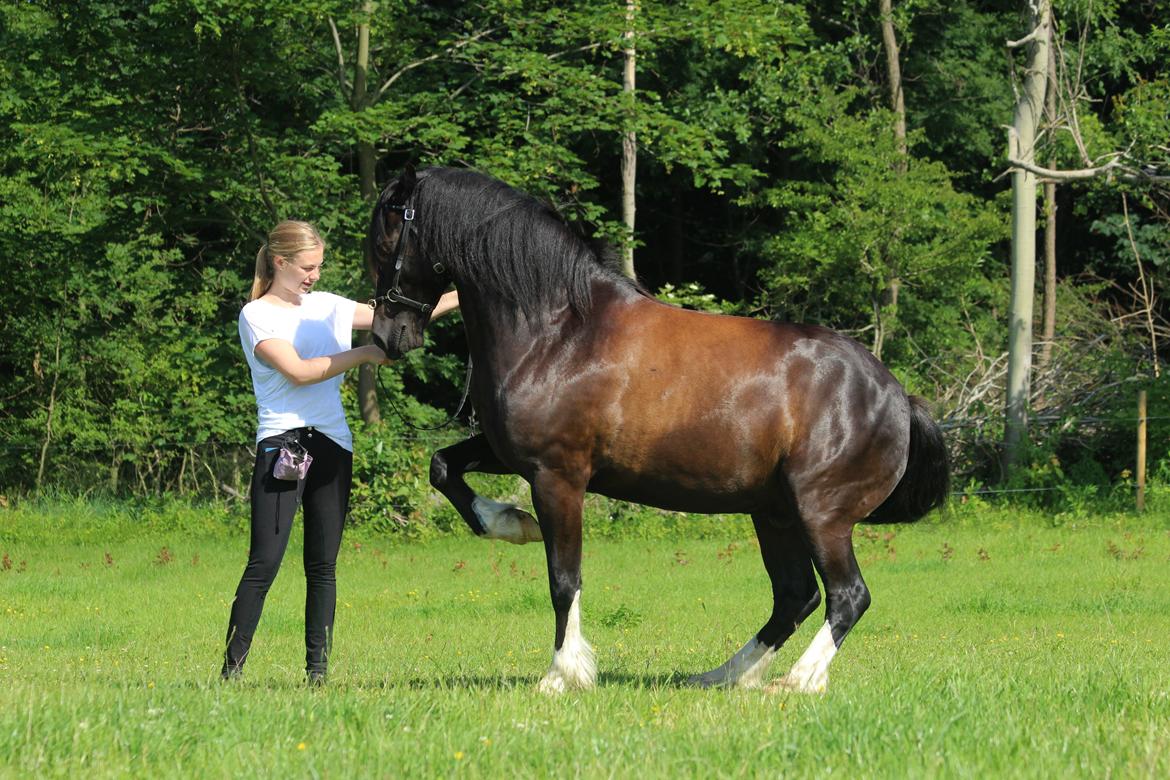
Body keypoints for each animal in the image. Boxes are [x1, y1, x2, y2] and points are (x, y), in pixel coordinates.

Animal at [367, 164, 950, 696]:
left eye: (386, 240)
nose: (388, 338)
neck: (559, 333)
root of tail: (896, 396)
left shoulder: (558, 476)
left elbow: (563, 579)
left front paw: (562, 675)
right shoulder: (512, 455)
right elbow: (443, 466)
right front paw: (511, 524)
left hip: (821, 514)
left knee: (847, 595)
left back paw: (798, 681)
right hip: (775, 512)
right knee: (795, 596)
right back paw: (723, 676)